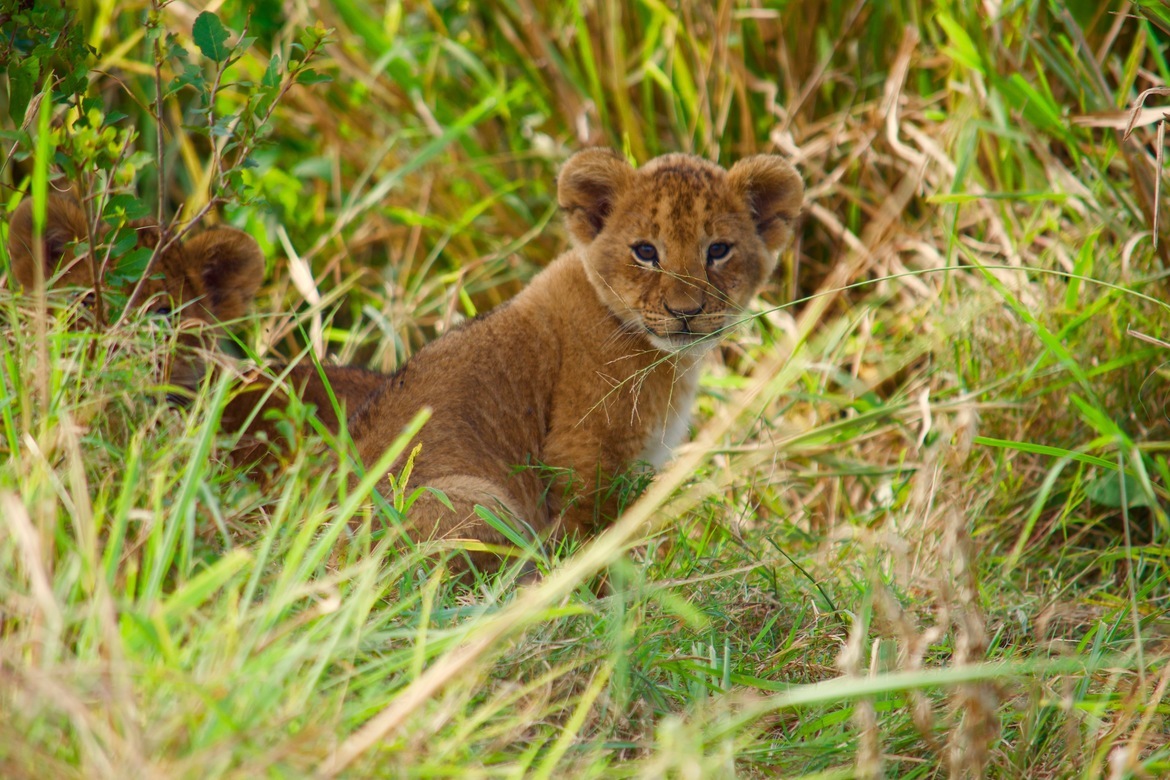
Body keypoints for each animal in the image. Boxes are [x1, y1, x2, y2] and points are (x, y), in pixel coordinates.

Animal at [349, 149, 803, 568]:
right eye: (645, 251)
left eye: (719, 250)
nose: (685, 312)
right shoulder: (581, 457)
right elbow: (592, 549)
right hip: (484, 501)